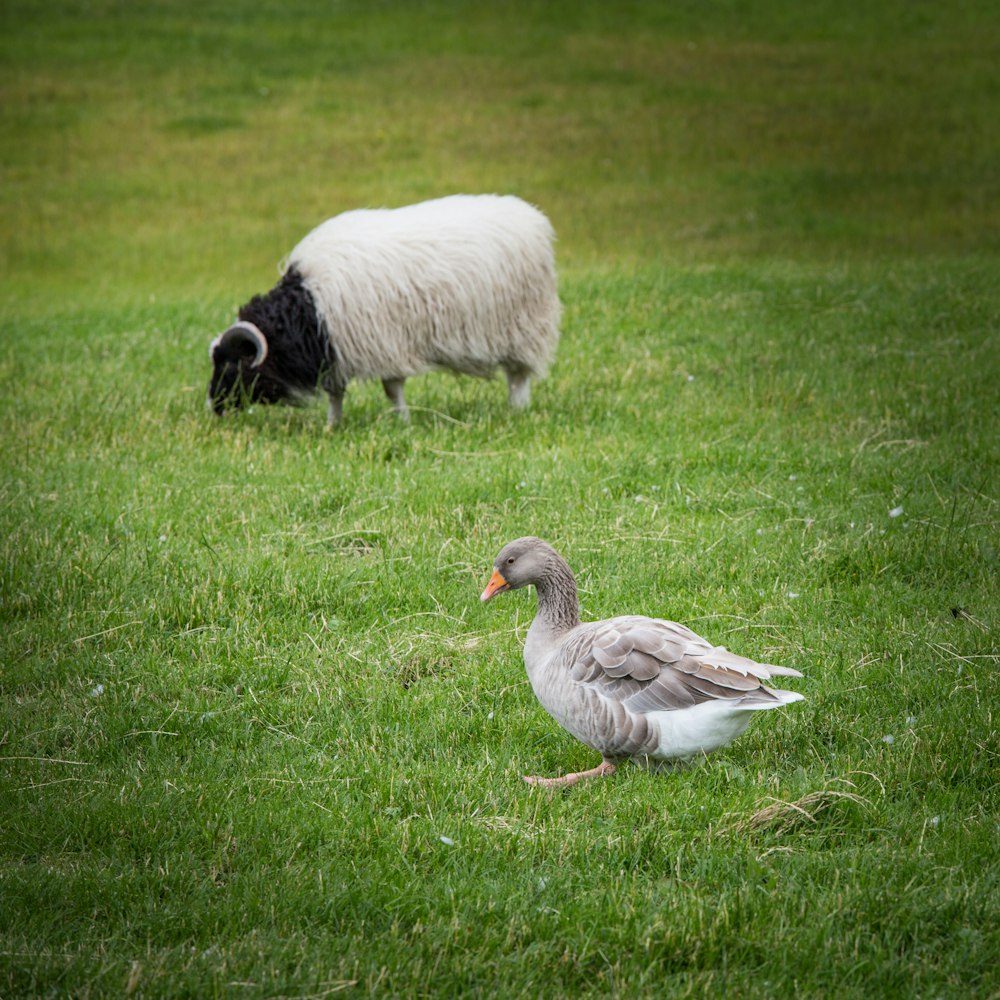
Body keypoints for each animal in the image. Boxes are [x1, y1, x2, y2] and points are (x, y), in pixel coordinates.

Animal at [209, 195, 564, 426]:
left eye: (232, 366)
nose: (213, 406)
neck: (307, 308)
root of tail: (534, 218)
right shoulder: (336, 350)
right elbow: (336, 393)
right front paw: (333, 426)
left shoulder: (384, 343)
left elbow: (392, 389)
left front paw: (402, 422)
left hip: (523, 326)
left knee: (518, 376)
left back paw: (517, 410)